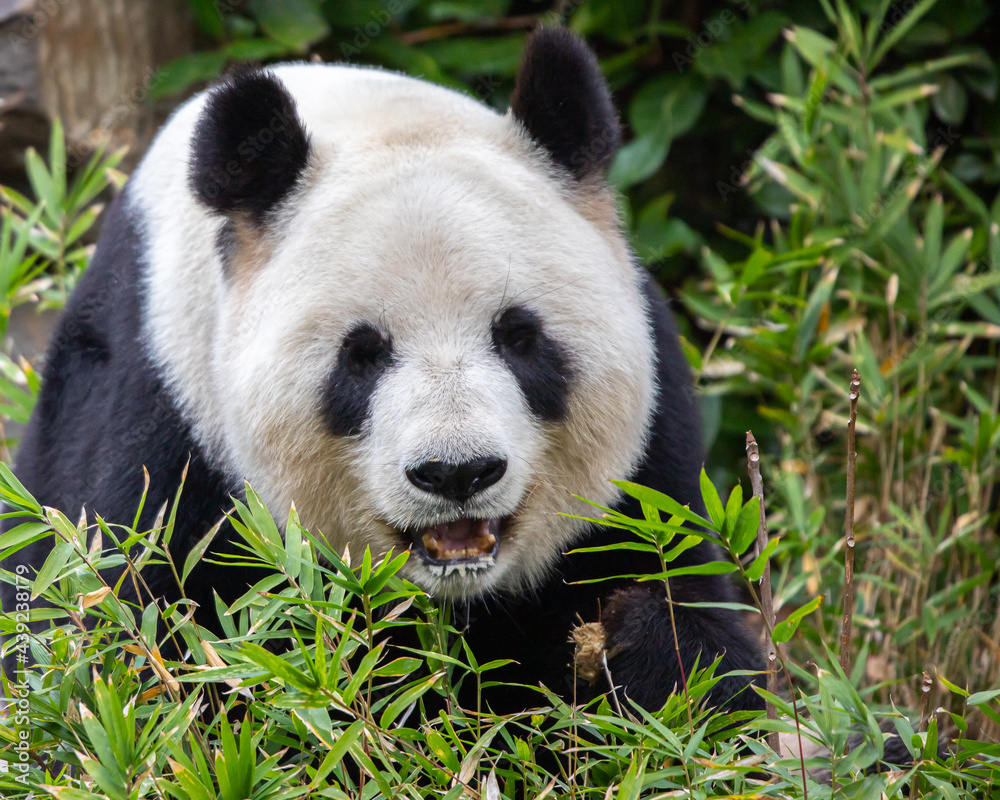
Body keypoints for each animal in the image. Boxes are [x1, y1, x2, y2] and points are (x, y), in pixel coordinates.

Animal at [1, 27, 764, 715]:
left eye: (520, 338)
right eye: (361, 355)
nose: (457, 473)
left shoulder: (650, 464)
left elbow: (704, 651)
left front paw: (636, 645)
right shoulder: (163, 418)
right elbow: (138, 660)